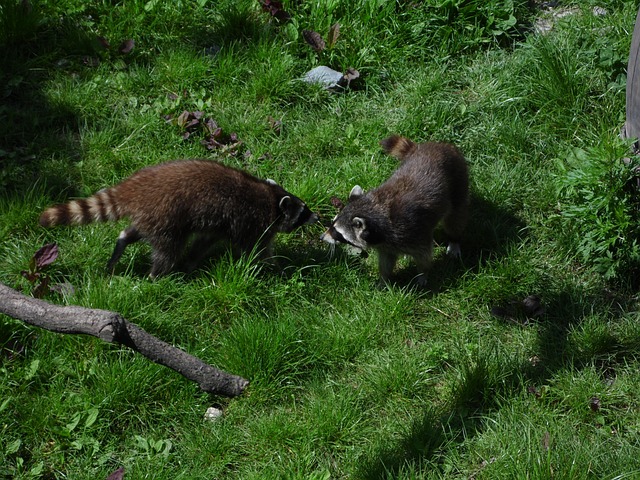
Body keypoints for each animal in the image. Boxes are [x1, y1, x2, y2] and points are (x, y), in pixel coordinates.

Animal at [39, 159, 318, 276]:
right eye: (303, 212)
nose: (316, 217)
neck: (271, 199)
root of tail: (133, 188)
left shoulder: (220, 226)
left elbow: (202, 244)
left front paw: (191, 263)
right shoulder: (252, 223)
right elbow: (257, 250)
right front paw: (278, 268)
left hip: (153, 217)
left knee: (135, 232)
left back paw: (122, 242)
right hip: (166, 215)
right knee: (168, 250)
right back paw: (156, 275)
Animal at [322, 133, 468, 286]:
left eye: (337, 232)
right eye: (332, 224)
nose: (322, 237)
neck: (375, 211)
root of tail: (437, 145)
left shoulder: (412, 230)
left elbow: (424, 256)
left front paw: (423, 274)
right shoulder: (386, 245)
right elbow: (386, 261)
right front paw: (384, 279)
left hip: (458, 181)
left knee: (455, 218)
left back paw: (454, 240)